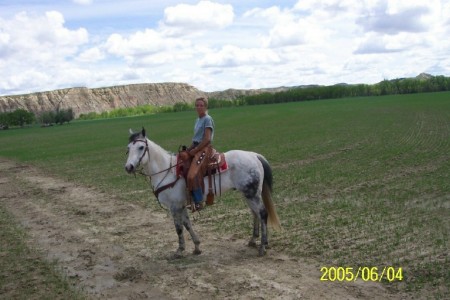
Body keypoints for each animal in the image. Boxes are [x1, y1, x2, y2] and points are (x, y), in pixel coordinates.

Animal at [125, 127, 282, 256]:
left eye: (141, 147)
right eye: (128, 148)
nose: (128, 167)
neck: (167, 171)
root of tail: (254, 155)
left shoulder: (174, 206)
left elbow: (178, 228)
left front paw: (180, 250)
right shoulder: (181, 205)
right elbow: (187, 224)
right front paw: (196, 247)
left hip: (252, 193)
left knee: (262, 213)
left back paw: (262, 246)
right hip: (247, 194)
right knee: (255, 213)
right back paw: (253, 241)